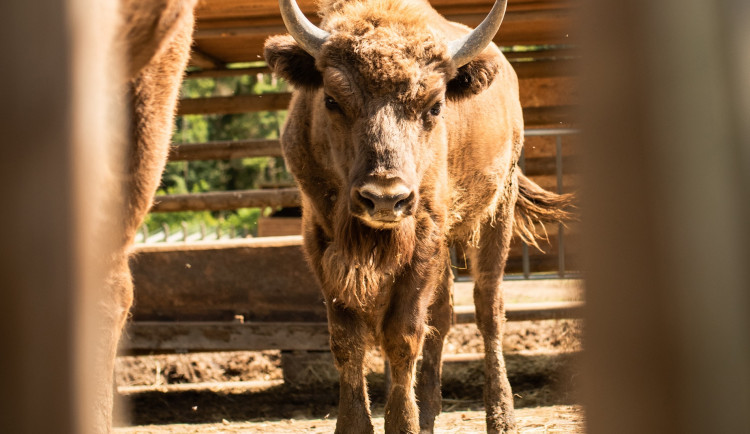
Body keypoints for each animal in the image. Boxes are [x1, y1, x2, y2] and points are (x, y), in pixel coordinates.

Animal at [266, 0, 576, 430]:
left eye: (435, 105)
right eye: (331, 100)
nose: (384, 198)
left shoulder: (424, 239)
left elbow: (402, 334)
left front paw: (403, 423)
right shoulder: (321, 240)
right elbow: (347, 340)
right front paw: (358, 425)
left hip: (497, 211)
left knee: (488, 309)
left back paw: (501, 418)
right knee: (443, 316)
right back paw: (430, 411)